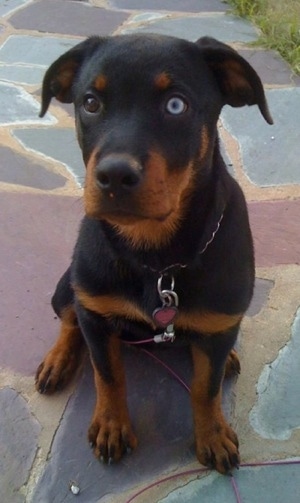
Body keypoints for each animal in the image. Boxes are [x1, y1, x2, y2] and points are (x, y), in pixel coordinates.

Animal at [35, 33, 272, 474]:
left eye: (176, 105)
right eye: (90, 102)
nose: (113, 175)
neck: (156, 259)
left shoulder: (220, 319)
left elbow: (205, 386)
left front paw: (212, 434)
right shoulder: (96, 310)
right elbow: (108, 374)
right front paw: (111, 426)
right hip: (69, 283)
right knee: (69, 318)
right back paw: (58, 360)